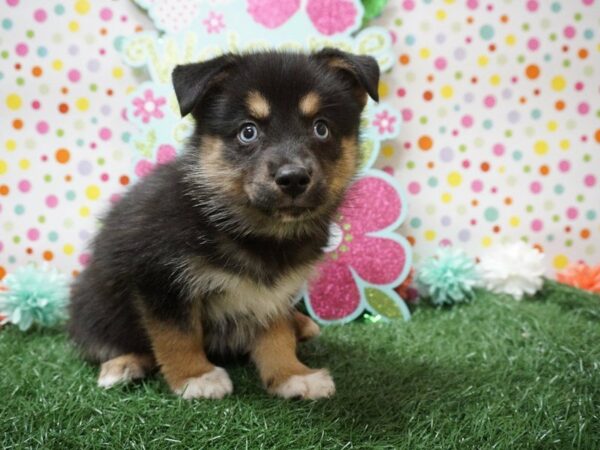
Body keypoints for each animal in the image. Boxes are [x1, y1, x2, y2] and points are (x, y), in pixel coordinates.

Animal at [69, 50, 380, 400]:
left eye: (321, 128)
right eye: (248, 131)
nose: (293, 178)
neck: (254, 231)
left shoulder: (274, 293)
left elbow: (277, 335)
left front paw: (292, 375)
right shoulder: (159, 279)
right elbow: (177, 334)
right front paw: (195, 377)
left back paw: (302, 324)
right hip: (93, 301)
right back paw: (122, 365)